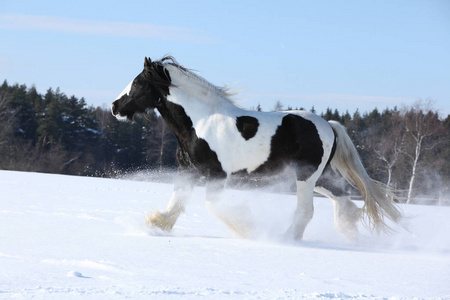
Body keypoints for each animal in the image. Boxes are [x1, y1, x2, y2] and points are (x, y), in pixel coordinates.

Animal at [111, 55, 400, 240]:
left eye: (137, 83)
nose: (115, 107)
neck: (200, 122)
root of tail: (328, 125)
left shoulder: (217, 176)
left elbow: (214, 207)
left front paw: (248, 228)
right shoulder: (188, 171)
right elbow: (176, 203)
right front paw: (155, 226)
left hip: (306, 177)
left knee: (306, 211)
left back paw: (286, 238)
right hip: (317, 177)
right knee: (341, 199)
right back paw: (349, 232)